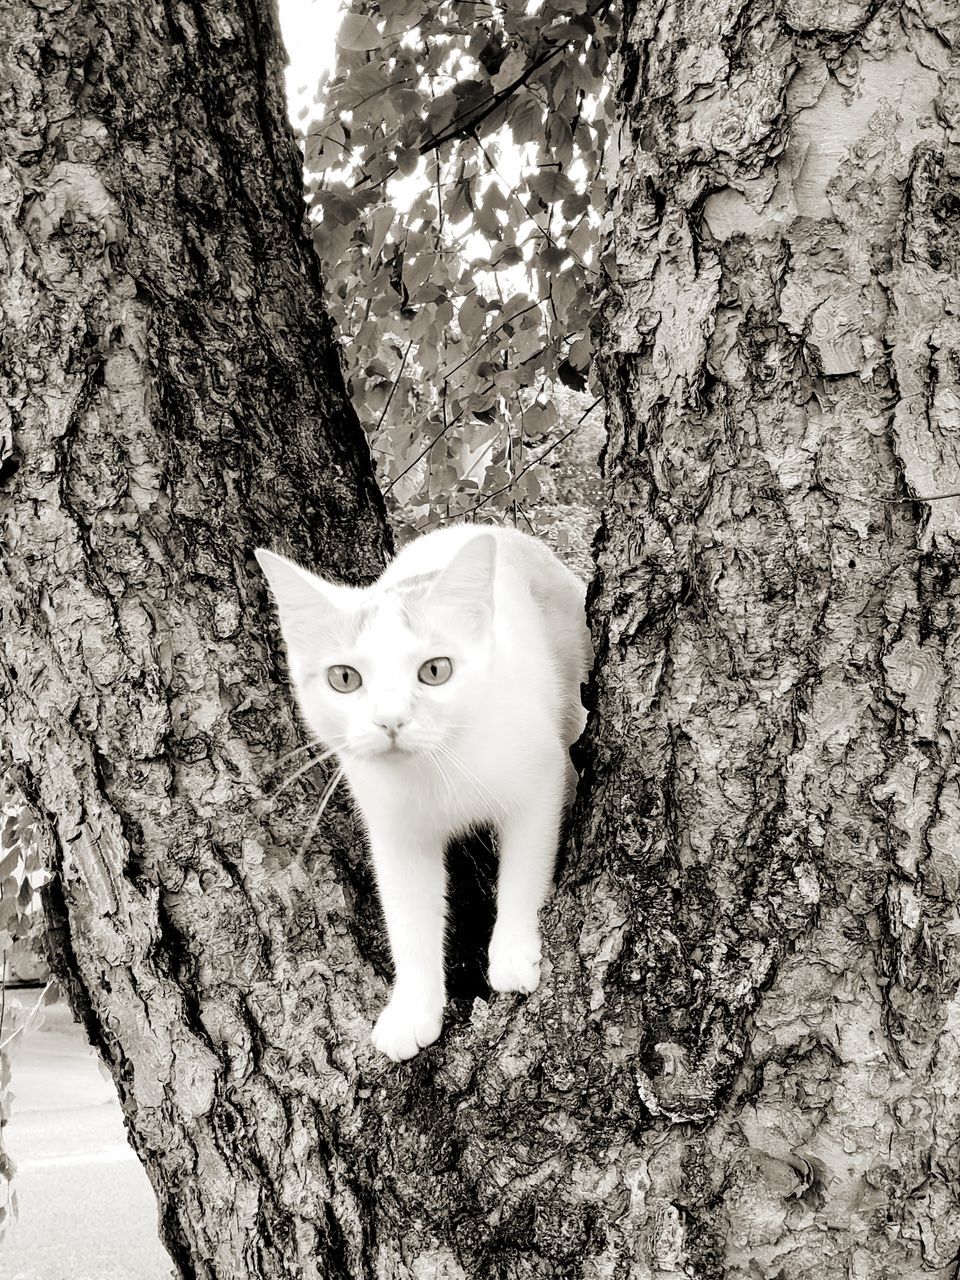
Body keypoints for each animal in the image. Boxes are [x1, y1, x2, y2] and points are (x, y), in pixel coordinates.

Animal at [256, 522, 591, 1059]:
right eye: (344, 678)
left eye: (435, 670)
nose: (390, 720)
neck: (435, 769)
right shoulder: (394, 830)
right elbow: (408, 915)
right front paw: (412, 1008)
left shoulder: (537, 778)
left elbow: (525, 866)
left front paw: (513, 951)